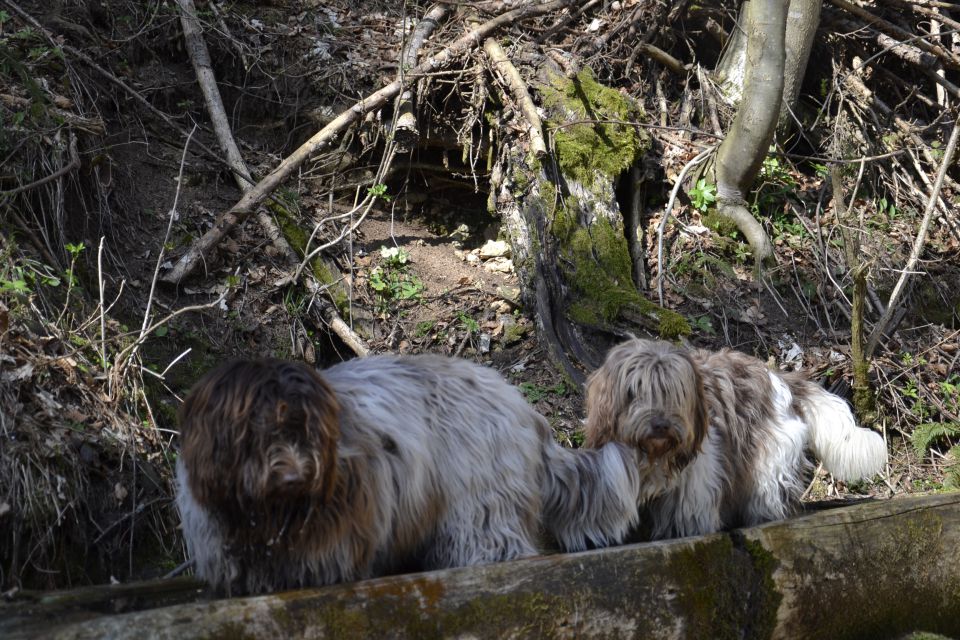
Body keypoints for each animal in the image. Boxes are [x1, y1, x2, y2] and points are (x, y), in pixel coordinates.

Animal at [176, 352, 640, 592]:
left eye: (306, 429)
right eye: (258, 431)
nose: (294, 477)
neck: (269, 517)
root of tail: (520, 404)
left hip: (479, 500)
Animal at [588, 340, 888, 540]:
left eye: (675, 393)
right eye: (635, 391)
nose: (661, 424)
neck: (652, 455)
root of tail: (780, 377)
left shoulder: (698, 479)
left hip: (770, 459)